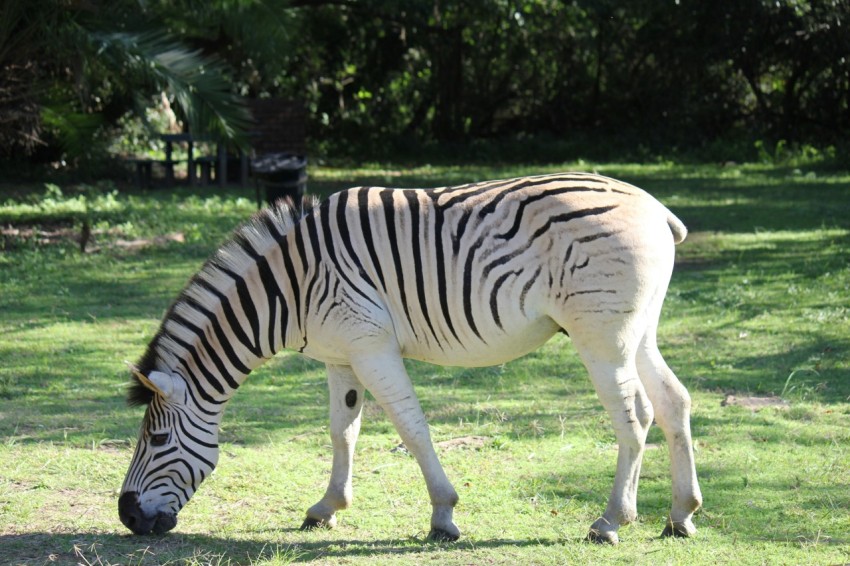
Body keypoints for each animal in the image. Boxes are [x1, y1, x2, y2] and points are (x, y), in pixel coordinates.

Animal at [118, 172, 702, 544]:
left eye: (157, 440)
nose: (126, 517)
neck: (289, 290)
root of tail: (653, 206)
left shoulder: (371, 345)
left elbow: (410, 428)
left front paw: (443, 516)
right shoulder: (340, 356)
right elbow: (343, 431)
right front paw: (326, 509)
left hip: (601, 336)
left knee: (636, 417)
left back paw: (611, 522)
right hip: (639, 331)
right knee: (673, 403)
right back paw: (680, 516)